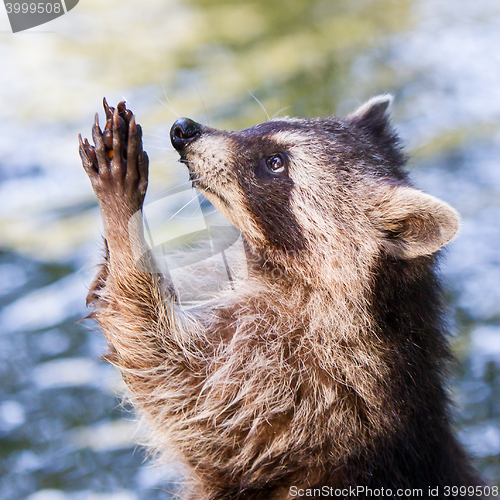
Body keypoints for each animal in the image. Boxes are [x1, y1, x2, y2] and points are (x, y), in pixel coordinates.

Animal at [80, 95, 482, 498]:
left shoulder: (301, 385)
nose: (183, 129)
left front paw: (122, 222)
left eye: (276, 163)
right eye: (260, 127)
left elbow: (168, 373)